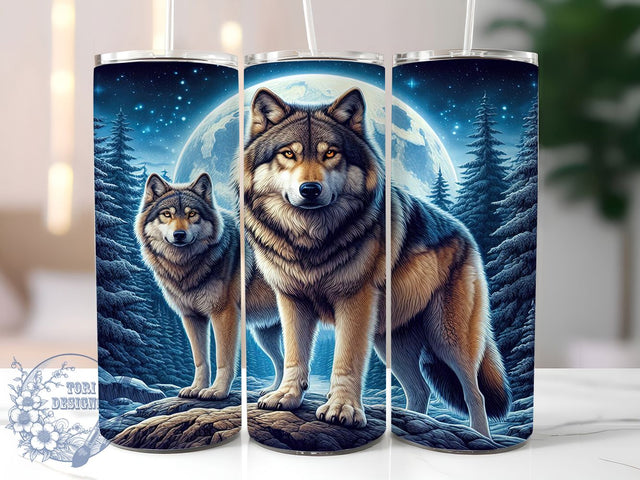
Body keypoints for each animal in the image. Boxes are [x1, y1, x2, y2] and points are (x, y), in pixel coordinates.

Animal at [136, 173, 282, 400]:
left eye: (192, 214)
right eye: (167, 214)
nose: (179, 235)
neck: (187, 267)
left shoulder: (224, 314)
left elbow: (223, 359)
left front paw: (217, 391)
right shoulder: (191, 317)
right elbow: (200, 360)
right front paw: (196, 388)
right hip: (265, 335)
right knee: (283, 361)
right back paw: (273, 392)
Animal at [244, 88, 510, 436]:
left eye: (331, 153)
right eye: (288, 154)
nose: (310, 189)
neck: (310, 241)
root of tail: (465, 233)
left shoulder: (355, 300)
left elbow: (346, 359)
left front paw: (342, 408)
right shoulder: (291, 300)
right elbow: (295, 355)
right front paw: (287, 396)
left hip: (448, 339)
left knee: (474, 393)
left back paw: (479, 436)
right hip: (391, 343)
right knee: (420, 390)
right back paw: (412, 422)